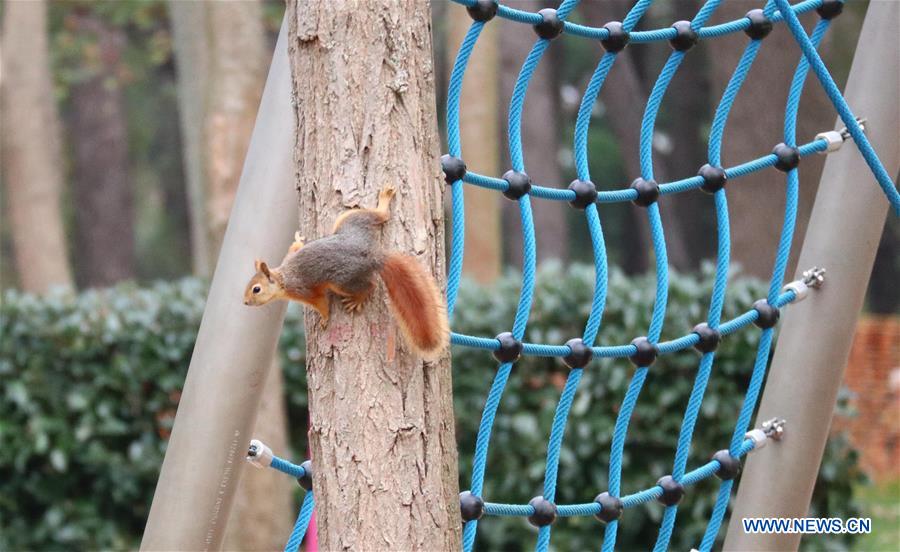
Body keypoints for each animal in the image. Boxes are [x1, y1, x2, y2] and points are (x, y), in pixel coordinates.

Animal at [243, 185, 449, 358]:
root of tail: (373, 254)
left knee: (370, 285)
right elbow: (295, 247)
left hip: (342, 280)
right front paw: (298, 238)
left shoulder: (305, 290)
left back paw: (357, 299)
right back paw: (384, 201)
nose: (245, 302)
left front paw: (324, 319)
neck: (283, 277)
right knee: (380, 216)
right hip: (351, 221)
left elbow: (321, 303)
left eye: (256, 289)